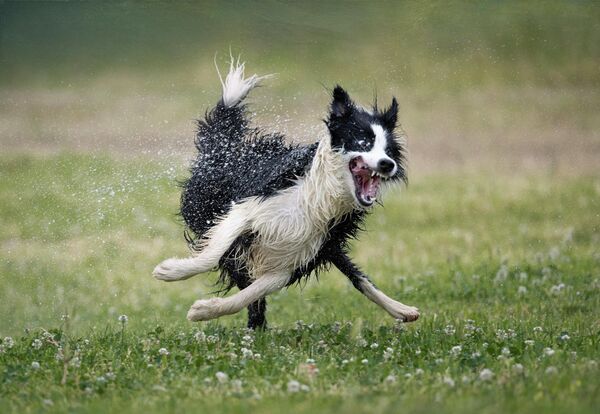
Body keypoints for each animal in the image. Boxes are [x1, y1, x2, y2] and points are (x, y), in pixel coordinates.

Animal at [152, 58, 420, 330]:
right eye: (363, 142)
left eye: (389, 150)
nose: (387, 164)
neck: (320, 196)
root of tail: (228, 148)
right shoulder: (248, 208)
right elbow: (214, 252)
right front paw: (171, 270)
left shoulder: (297, 255)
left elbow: (253, 292)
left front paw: (204, 310)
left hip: (325, 246)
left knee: (357, 276)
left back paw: (403, 310)